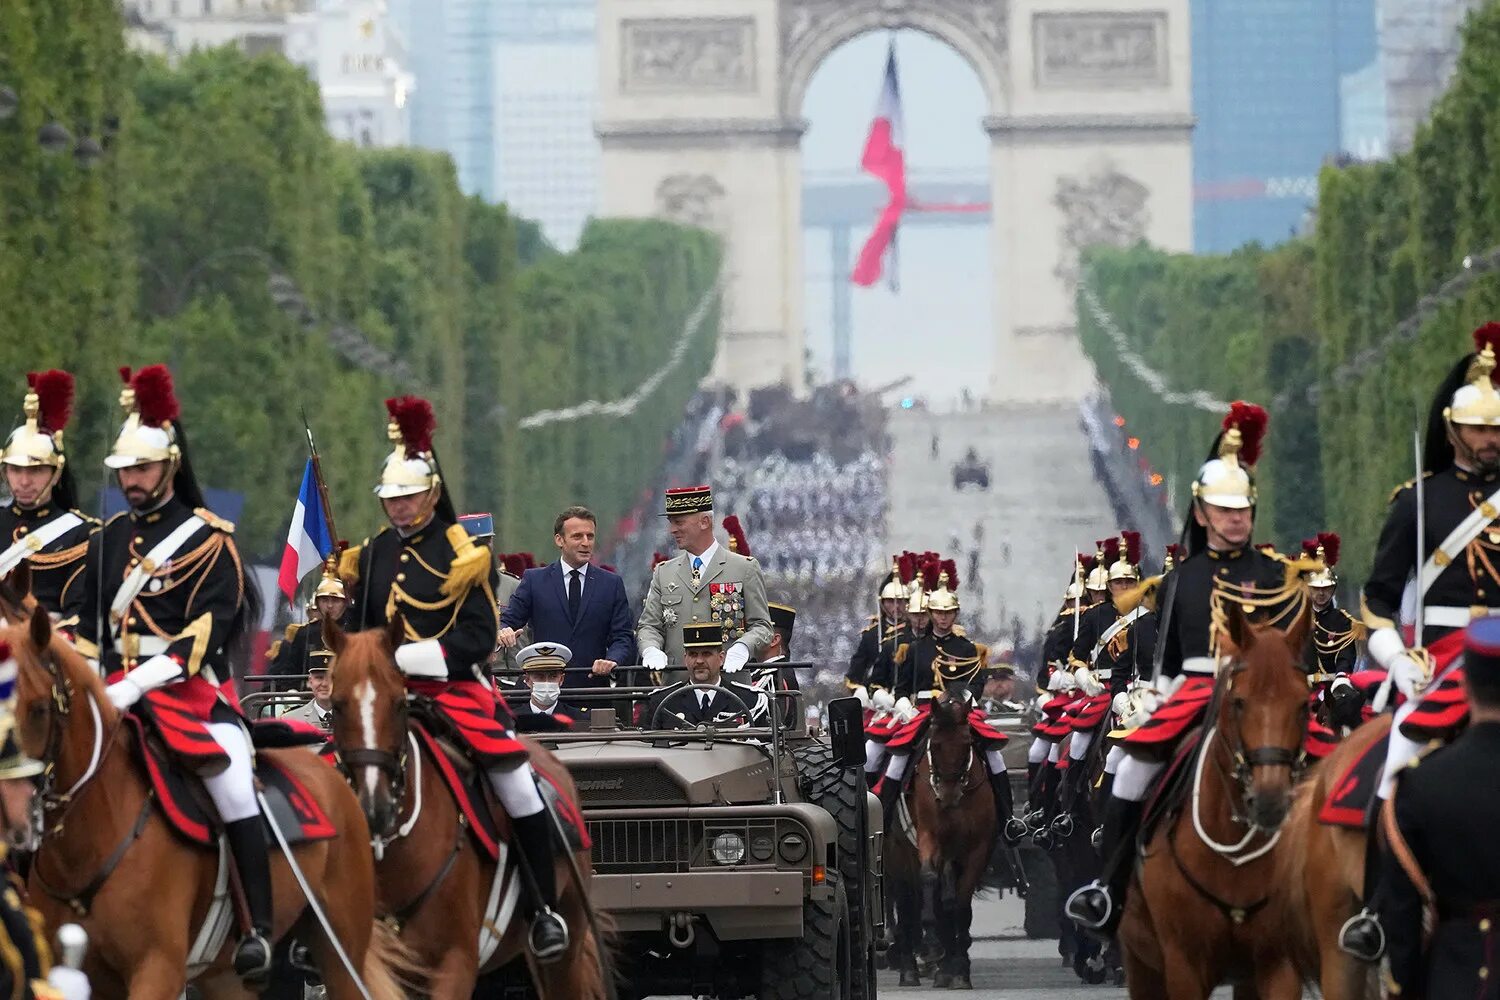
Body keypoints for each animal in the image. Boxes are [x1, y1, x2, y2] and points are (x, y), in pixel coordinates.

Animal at [906, 692, 1002, 989]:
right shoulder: (929, 835)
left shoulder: (978, 848)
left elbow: (961, 902)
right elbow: (929, 878)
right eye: (935, 744)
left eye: (967, 743)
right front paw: (932, 942)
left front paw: (959, 967)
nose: (948, 797)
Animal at [1116, 602, 1314, 1000]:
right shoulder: (1184, 963)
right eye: (1239, 702)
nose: (1270, 800)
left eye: (1303, 705)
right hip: (1141, 963)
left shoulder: (1278, 963)